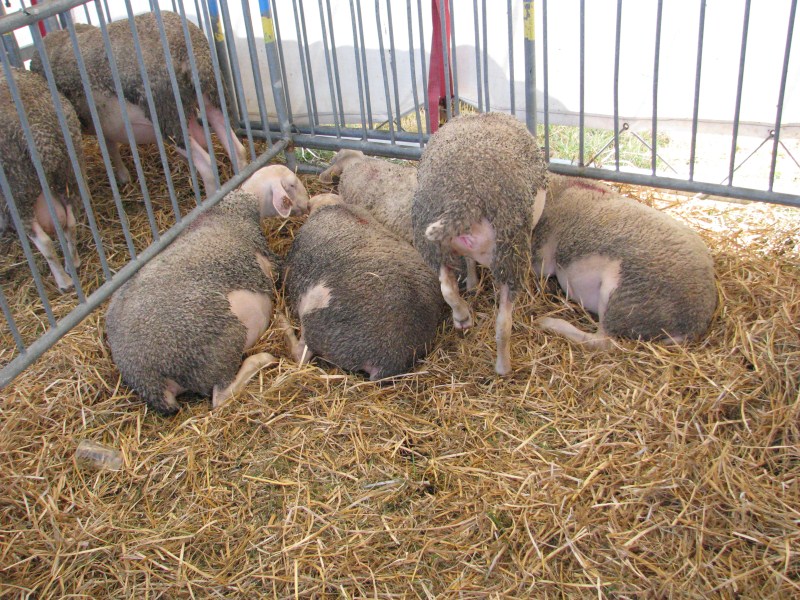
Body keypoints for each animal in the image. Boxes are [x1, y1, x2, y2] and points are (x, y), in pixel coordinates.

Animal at [0, 67, 86, 291]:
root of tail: (40, 133)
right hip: (69, 173)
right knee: (70, 223)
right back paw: (72, 264)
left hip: (17, 191)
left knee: (45, 242)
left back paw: (64, 282)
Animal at [29, 11, 246, 195]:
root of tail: (186, 48)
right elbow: (110, 144)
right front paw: (124, 175)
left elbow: (108, 147)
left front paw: (120, 176)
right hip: (211, 93)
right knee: (237, 149)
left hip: (166, 116)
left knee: (207, 166)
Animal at [104, 164, 310, 415]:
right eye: (292, 184)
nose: (308, 204)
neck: (234, 211)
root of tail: (150, 380)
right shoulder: (270, 262)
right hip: (220, 347)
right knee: (220, 397)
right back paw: (261, 359)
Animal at [412, 112, 548, 375]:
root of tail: (464, 198)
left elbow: (466, 263)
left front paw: (473, 284)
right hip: (510, 250)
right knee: (503, 324)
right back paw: (504, 367)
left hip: (434, 247)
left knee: (447, 288)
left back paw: (462, 316)